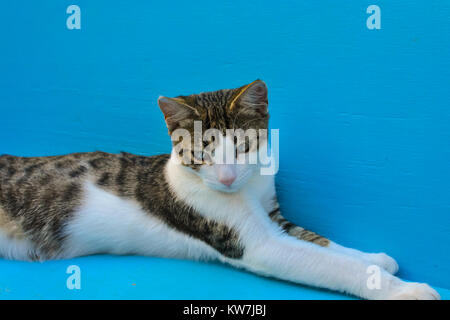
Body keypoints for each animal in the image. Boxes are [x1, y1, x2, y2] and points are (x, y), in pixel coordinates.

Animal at [0, 80, 440, 300]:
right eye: (201, 153)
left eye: (243, 147)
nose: (227, 178)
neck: (245, 190)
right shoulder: (254, 242)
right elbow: (327, 262)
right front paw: (408, 291)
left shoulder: (275, 216)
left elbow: (323, 242)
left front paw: (375, 259)